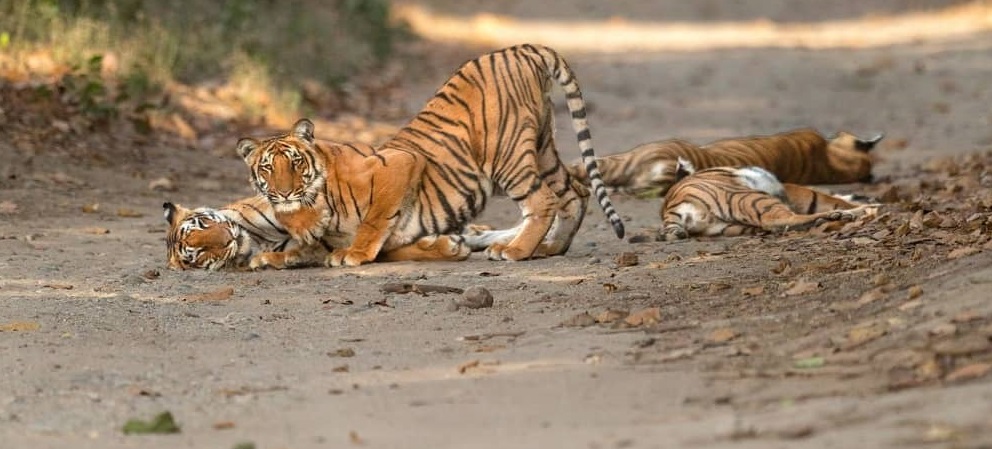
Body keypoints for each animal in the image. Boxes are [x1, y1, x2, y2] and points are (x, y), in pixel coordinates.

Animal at [236, 43, 624, 266]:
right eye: (267, 168)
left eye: (295, 163)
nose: (285, 192)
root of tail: (521, 49)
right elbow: (393, 244)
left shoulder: (399, 164)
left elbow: (375, 220)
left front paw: (354, 254)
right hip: (542, 148)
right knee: (575, 192)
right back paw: (548, 248)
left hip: (508, 156)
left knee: (544, 200)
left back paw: (514, 251)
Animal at [660, 158, 876, 242]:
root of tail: (668, 211)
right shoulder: (789, 190)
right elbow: (822, 197)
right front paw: (863, 204)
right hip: (745, 196)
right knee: (778, 219)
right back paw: (848, 214)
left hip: (731, 226)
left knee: (775, 225)